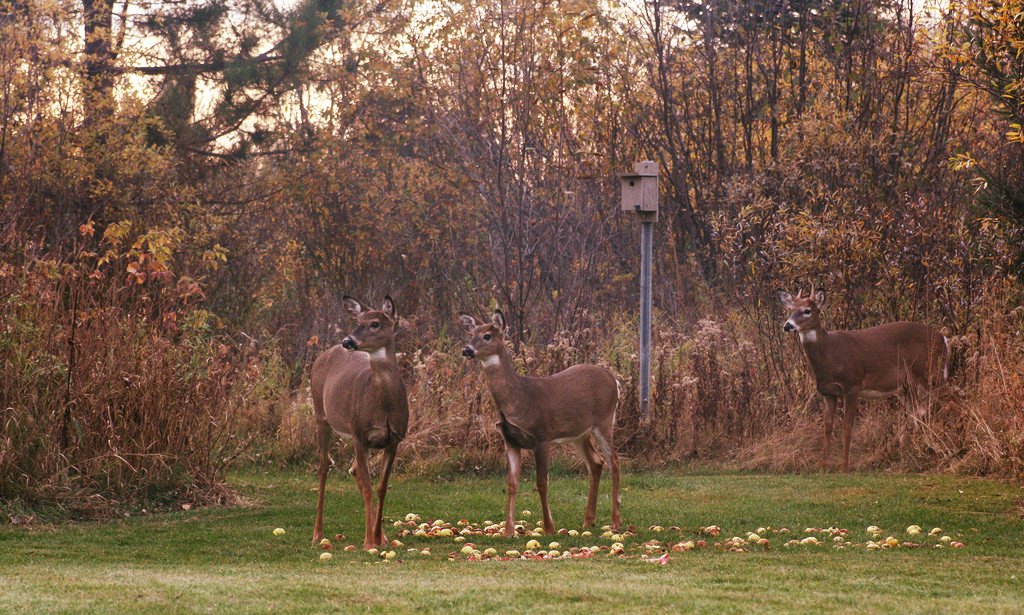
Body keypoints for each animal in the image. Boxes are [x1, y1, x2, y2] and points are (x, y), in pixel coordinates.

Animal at [310, 295, 408, 549]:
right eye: (358, 321)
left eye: (375, 323)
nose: (348, 341)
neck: (383, 405)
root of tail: (324, 354)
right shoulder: (360, 433)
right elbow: (367, 487)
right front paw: (368, 542)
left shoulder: (394, 439)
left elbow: (381, 487)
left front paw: (379, 537)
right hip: (322, 415)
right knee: (324, 467)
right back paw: (317, 533)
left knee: (353, 469)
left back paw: (383, 537)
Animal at [459, 309, 621, 537]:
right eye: (471, 334)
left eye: (487, 336)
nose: (466, 350)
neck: (519, 398)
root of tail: (613, 378)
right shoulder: (510, 441)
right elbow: (512, 483)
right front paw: (508, 531)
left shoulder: (542, 435)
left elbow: (542, 482)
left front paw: (549, 527)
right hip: (579, 433)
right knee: (596, 462)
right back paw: (588, 521)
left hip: (604, 420)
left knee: (614, 460)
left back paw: (616, 521)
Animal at [777, 288, 948, 473]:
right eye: (791, 310)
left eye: (807, 310)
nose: (787, 326)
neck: (829, 355)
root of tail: (943, 339)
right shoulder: (827, 393)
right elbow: (827, 428)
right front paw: (822, 468)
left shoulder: (852, 385)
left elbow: (847, 428)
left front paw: (844, 468)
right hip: (907, 388)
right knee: (919, 414)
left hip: (931, 373)